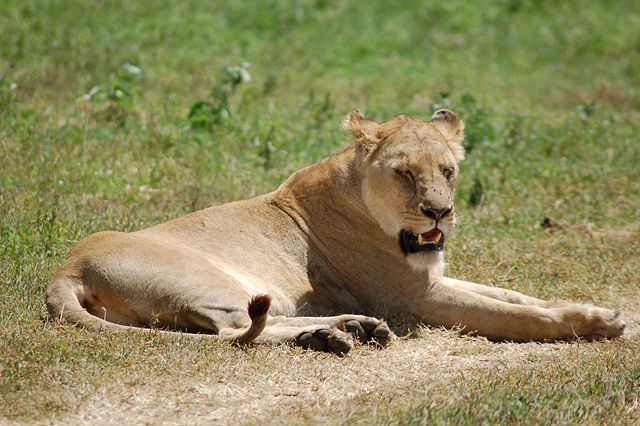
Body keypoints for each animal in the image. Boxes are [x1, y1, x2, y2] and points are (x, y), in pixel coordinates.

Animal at [47, 108, 628, 354]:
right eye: (404, 173)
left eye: (448, 170)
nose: (439, 213)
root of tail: (64, 271)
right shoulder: (412, 298)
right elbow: (512, 315)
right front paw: (594, 324)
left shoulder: (430, 278)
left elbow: (515, 295)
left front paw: (589, 307)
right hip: (218, 281)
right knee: (235, 330)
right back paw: (340, 331)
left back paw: (344, 330)